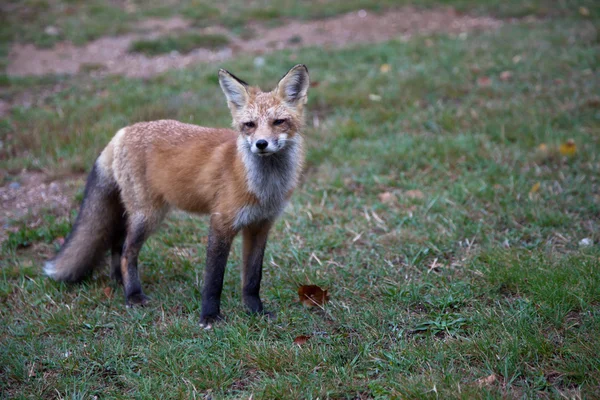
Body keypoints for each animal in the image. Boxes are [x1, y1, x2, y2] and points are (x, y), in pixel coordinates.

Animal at [43, 65, 310, 328]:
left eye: (279, 122)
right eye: (250, 125)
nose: (261, 144)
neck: (263, 187)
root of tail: (121, 132)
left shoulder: (260, 225)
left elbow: (253, 278)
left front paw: (255, 311)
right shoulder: (221, 222)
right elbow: (214, 278)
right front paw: (209, 317)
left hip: (134, 213)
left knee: (117, 244)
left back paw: (119, 283)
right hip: (148, 215)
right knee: (128, 252)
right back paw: (133, 295)